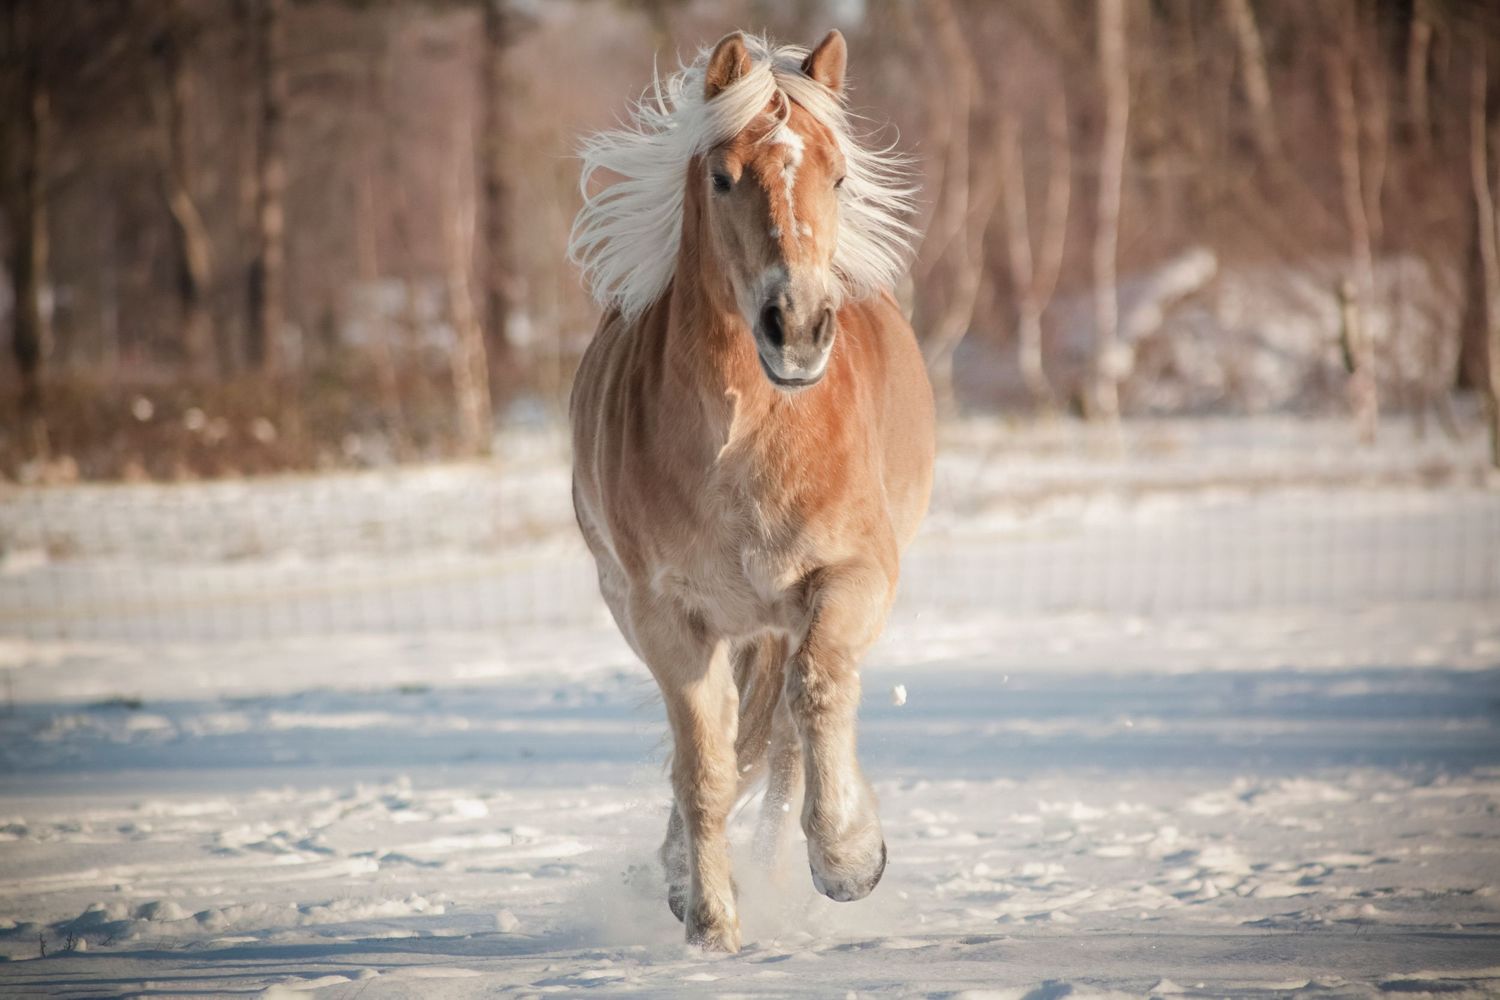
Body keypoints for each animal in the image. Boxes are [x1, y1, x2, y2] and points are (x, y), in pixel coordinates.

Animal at [568, 29, 934, 952]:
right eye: (724, 176)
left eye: (837, 176)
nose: (796, 327)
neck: (753, 441)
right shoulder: (668, 616)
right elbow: (705, 766)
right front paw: (709, 927)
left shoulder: (853, 576)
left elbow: (817, 696)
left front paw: (849, 860)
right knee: (733, 748)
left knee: (789, 736)